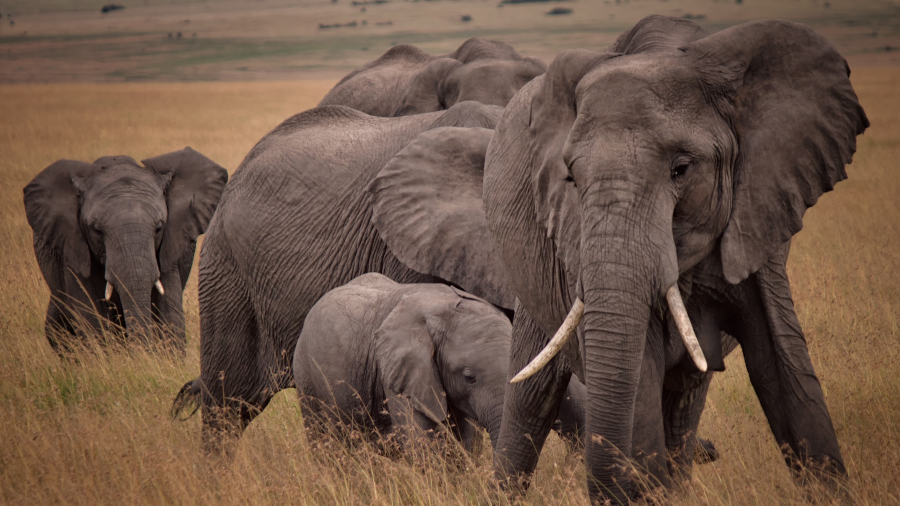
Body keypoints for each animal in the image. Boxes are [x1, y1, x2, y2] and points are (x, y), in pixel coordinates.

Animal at [23, 148, 229, 350]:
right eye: (97, 230)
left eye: (159, 227)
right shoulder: (73, 248)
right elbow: (89, 316)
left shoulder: (170, 245)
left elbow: (169, 313)